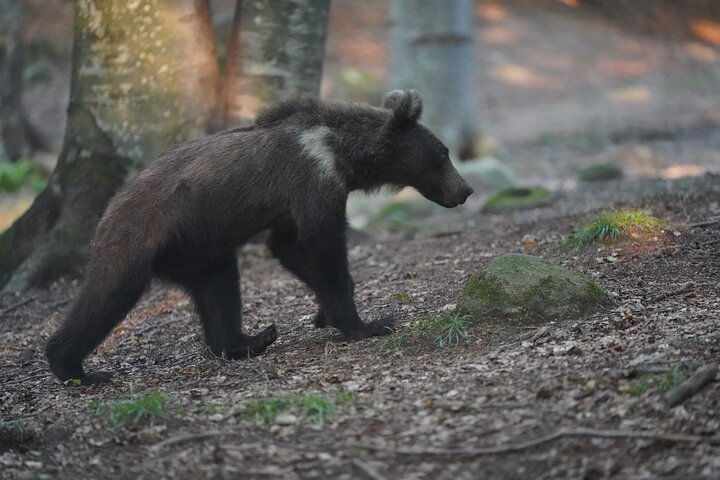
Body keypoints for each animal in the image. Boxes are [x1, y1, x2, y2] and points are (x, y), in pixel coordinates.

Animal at [45, 89, 474, 385]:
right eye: (443, 153)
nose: (466, 190)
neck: (343, 154)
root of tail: (111, 207)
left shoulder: (292, 206)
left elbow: (288, 247)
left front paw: (324, 312)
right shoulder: (312, 180)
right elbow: (323, 246)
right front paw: (368, 323)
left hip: (200, 249)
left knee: (219, 288)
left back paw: (250, 339)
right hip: (142, 233)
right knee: (109, 291)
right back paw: (74, 367)